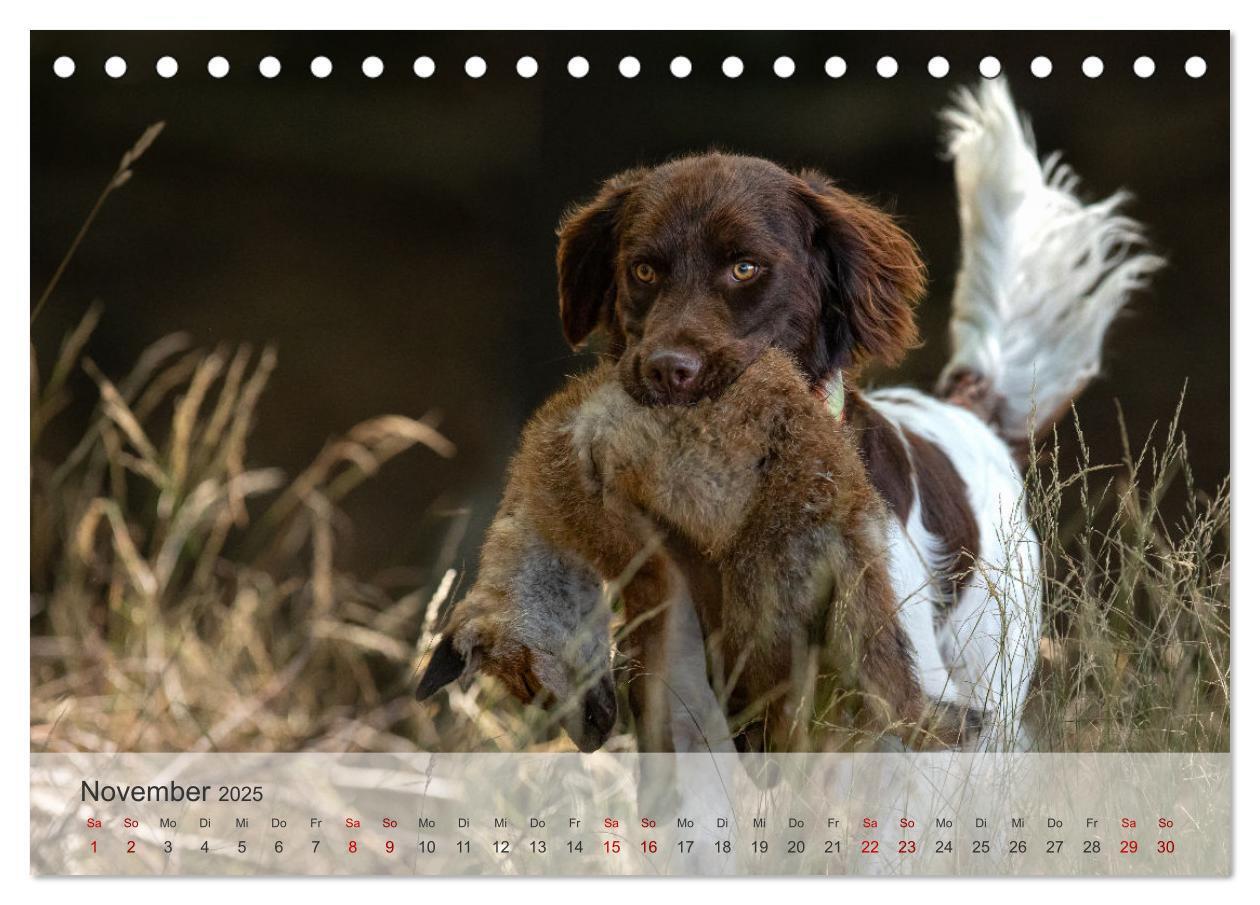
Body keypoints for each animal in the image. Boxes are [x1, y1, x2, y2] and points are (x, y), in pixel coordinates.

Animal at [413, 81, 1159, 756]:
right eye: (644, 270)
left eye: (745, 267)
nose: (667, 369)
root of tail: (964, 411)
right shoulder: (681, 712)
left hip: (986, 679)